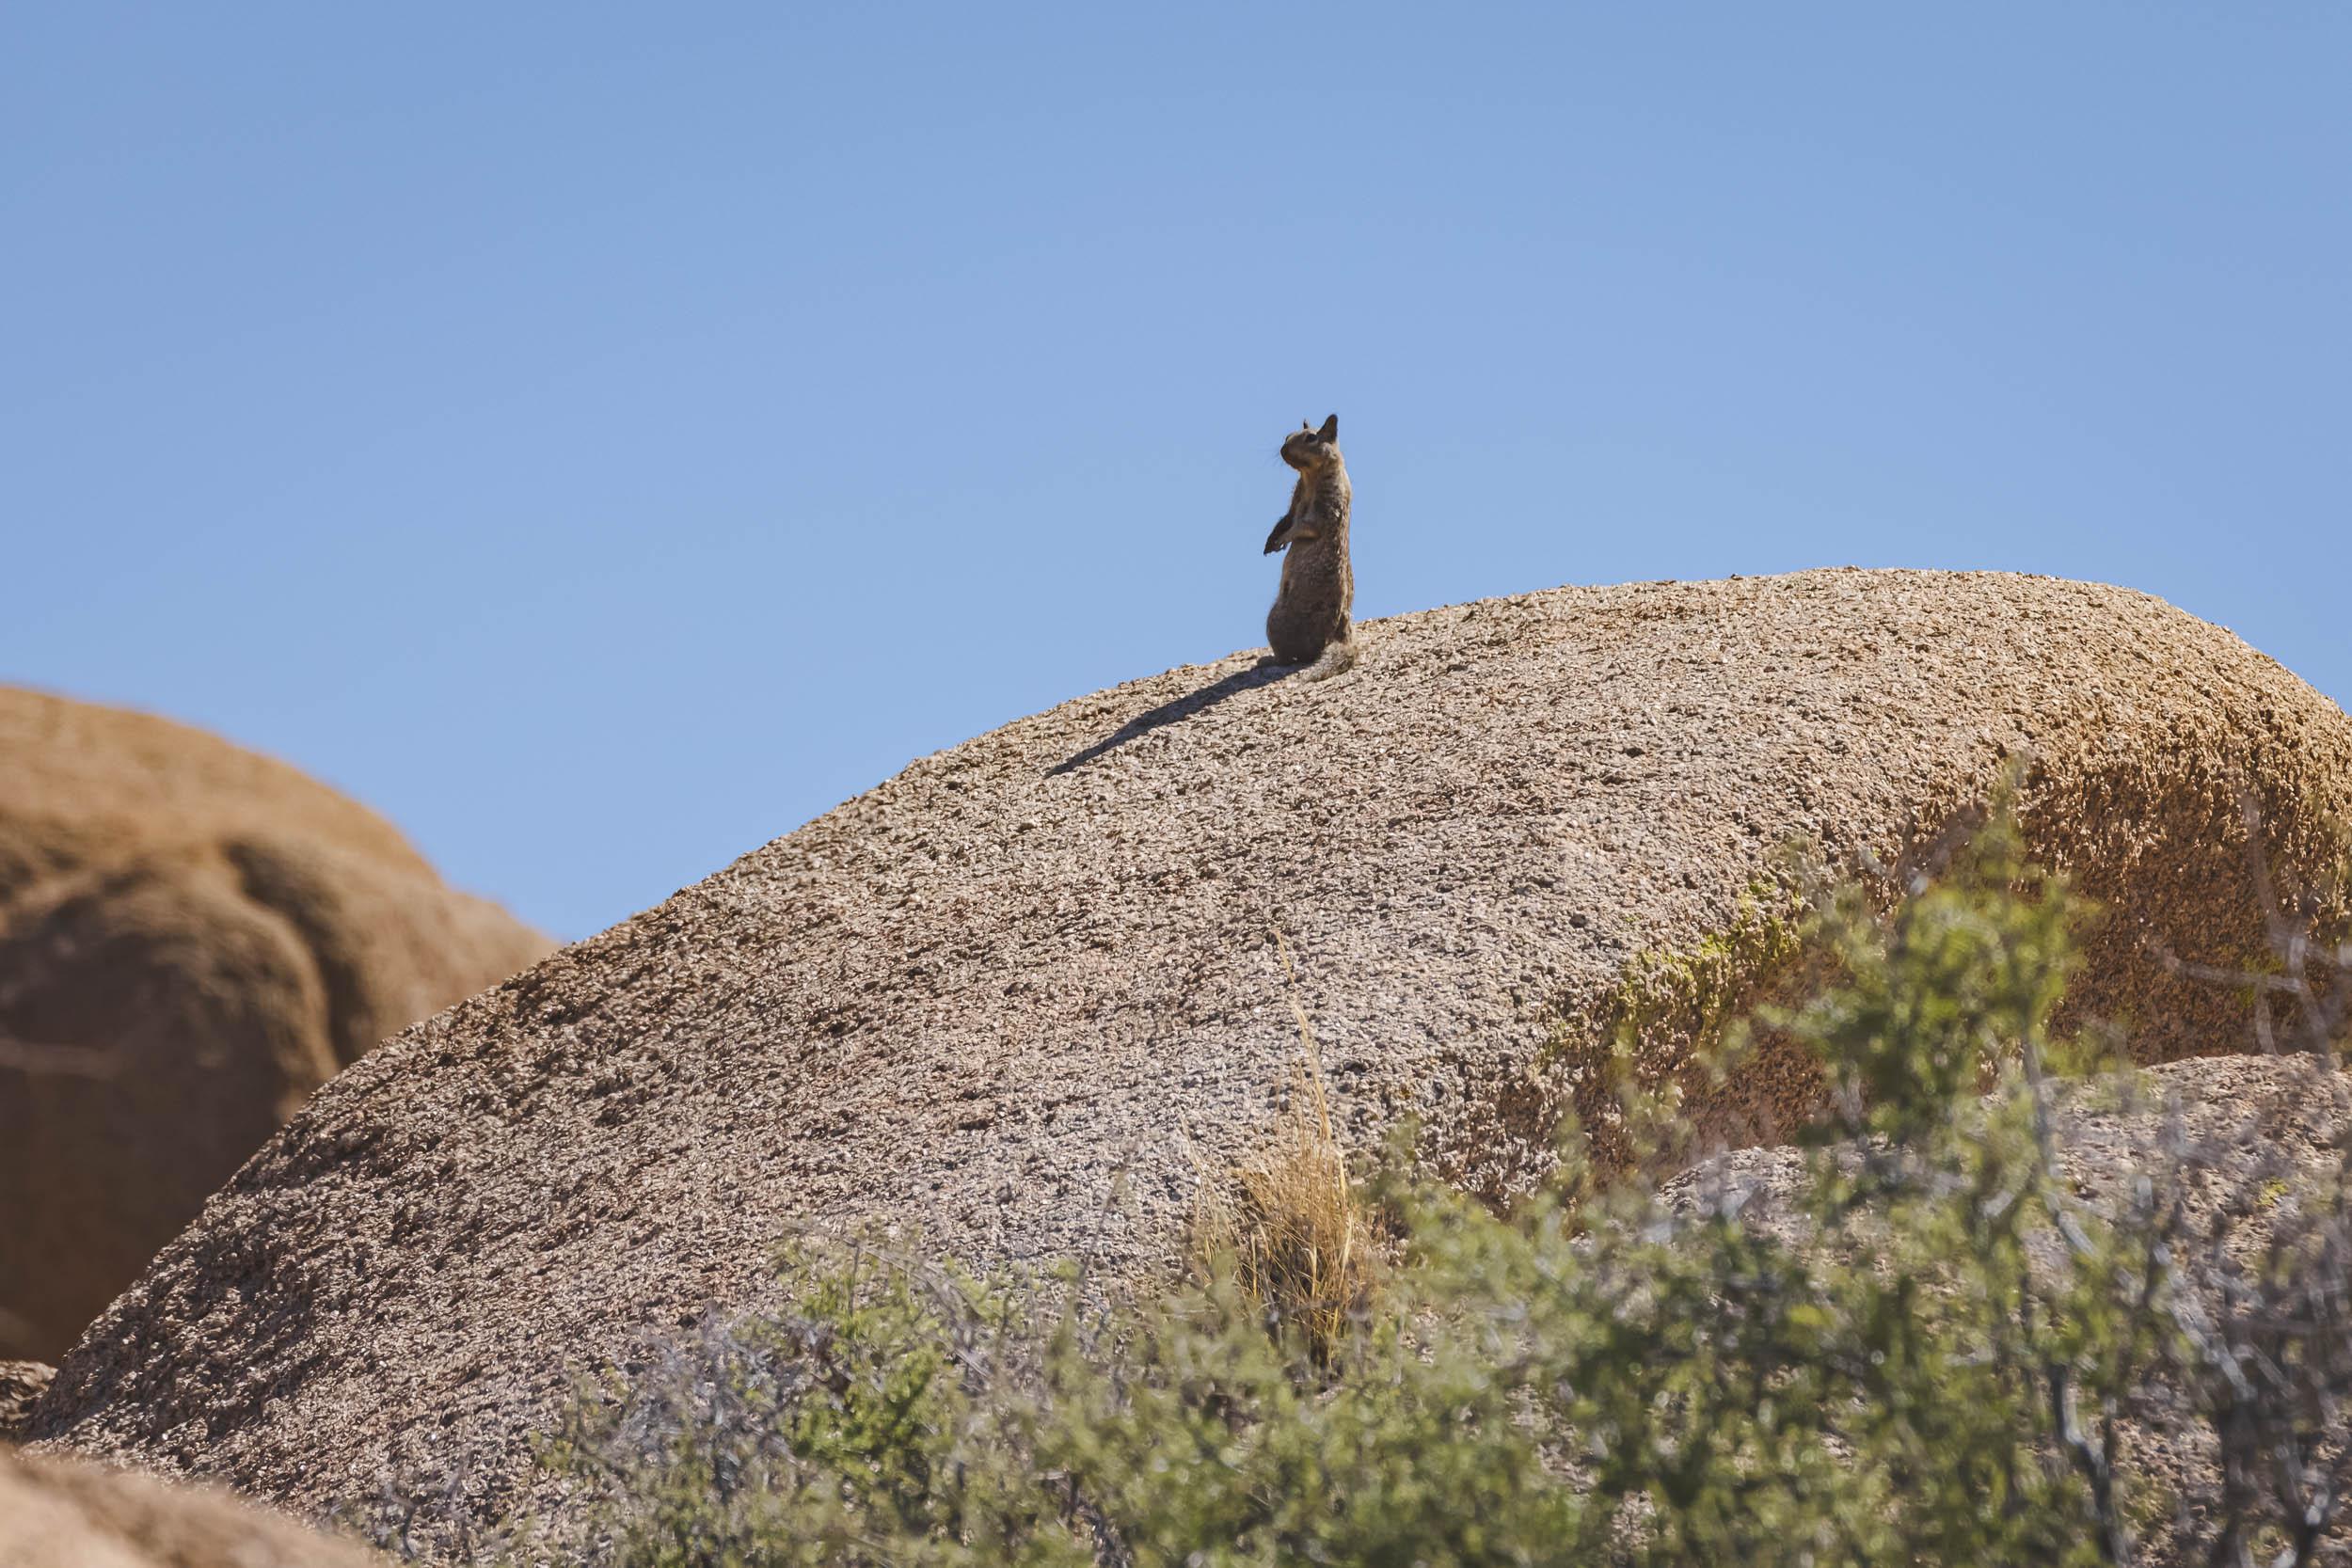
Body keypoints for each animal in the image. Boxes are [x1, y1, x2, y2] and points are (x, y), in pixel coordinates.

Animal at [1261, 414, 1356, 681]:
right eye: (1286, 435)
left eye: (1312, 437)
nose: (1282, 450)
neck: (1308, 476)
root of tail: (1340, 638)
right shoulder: (1294, 500)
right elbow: (1285, 519)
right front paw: (1270, 541)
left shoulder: (1327, 505)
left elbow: (1305, 527)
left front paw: (1283, 539)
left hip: (1275, 622)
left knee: (1289, 658)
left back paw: (1268, 661)